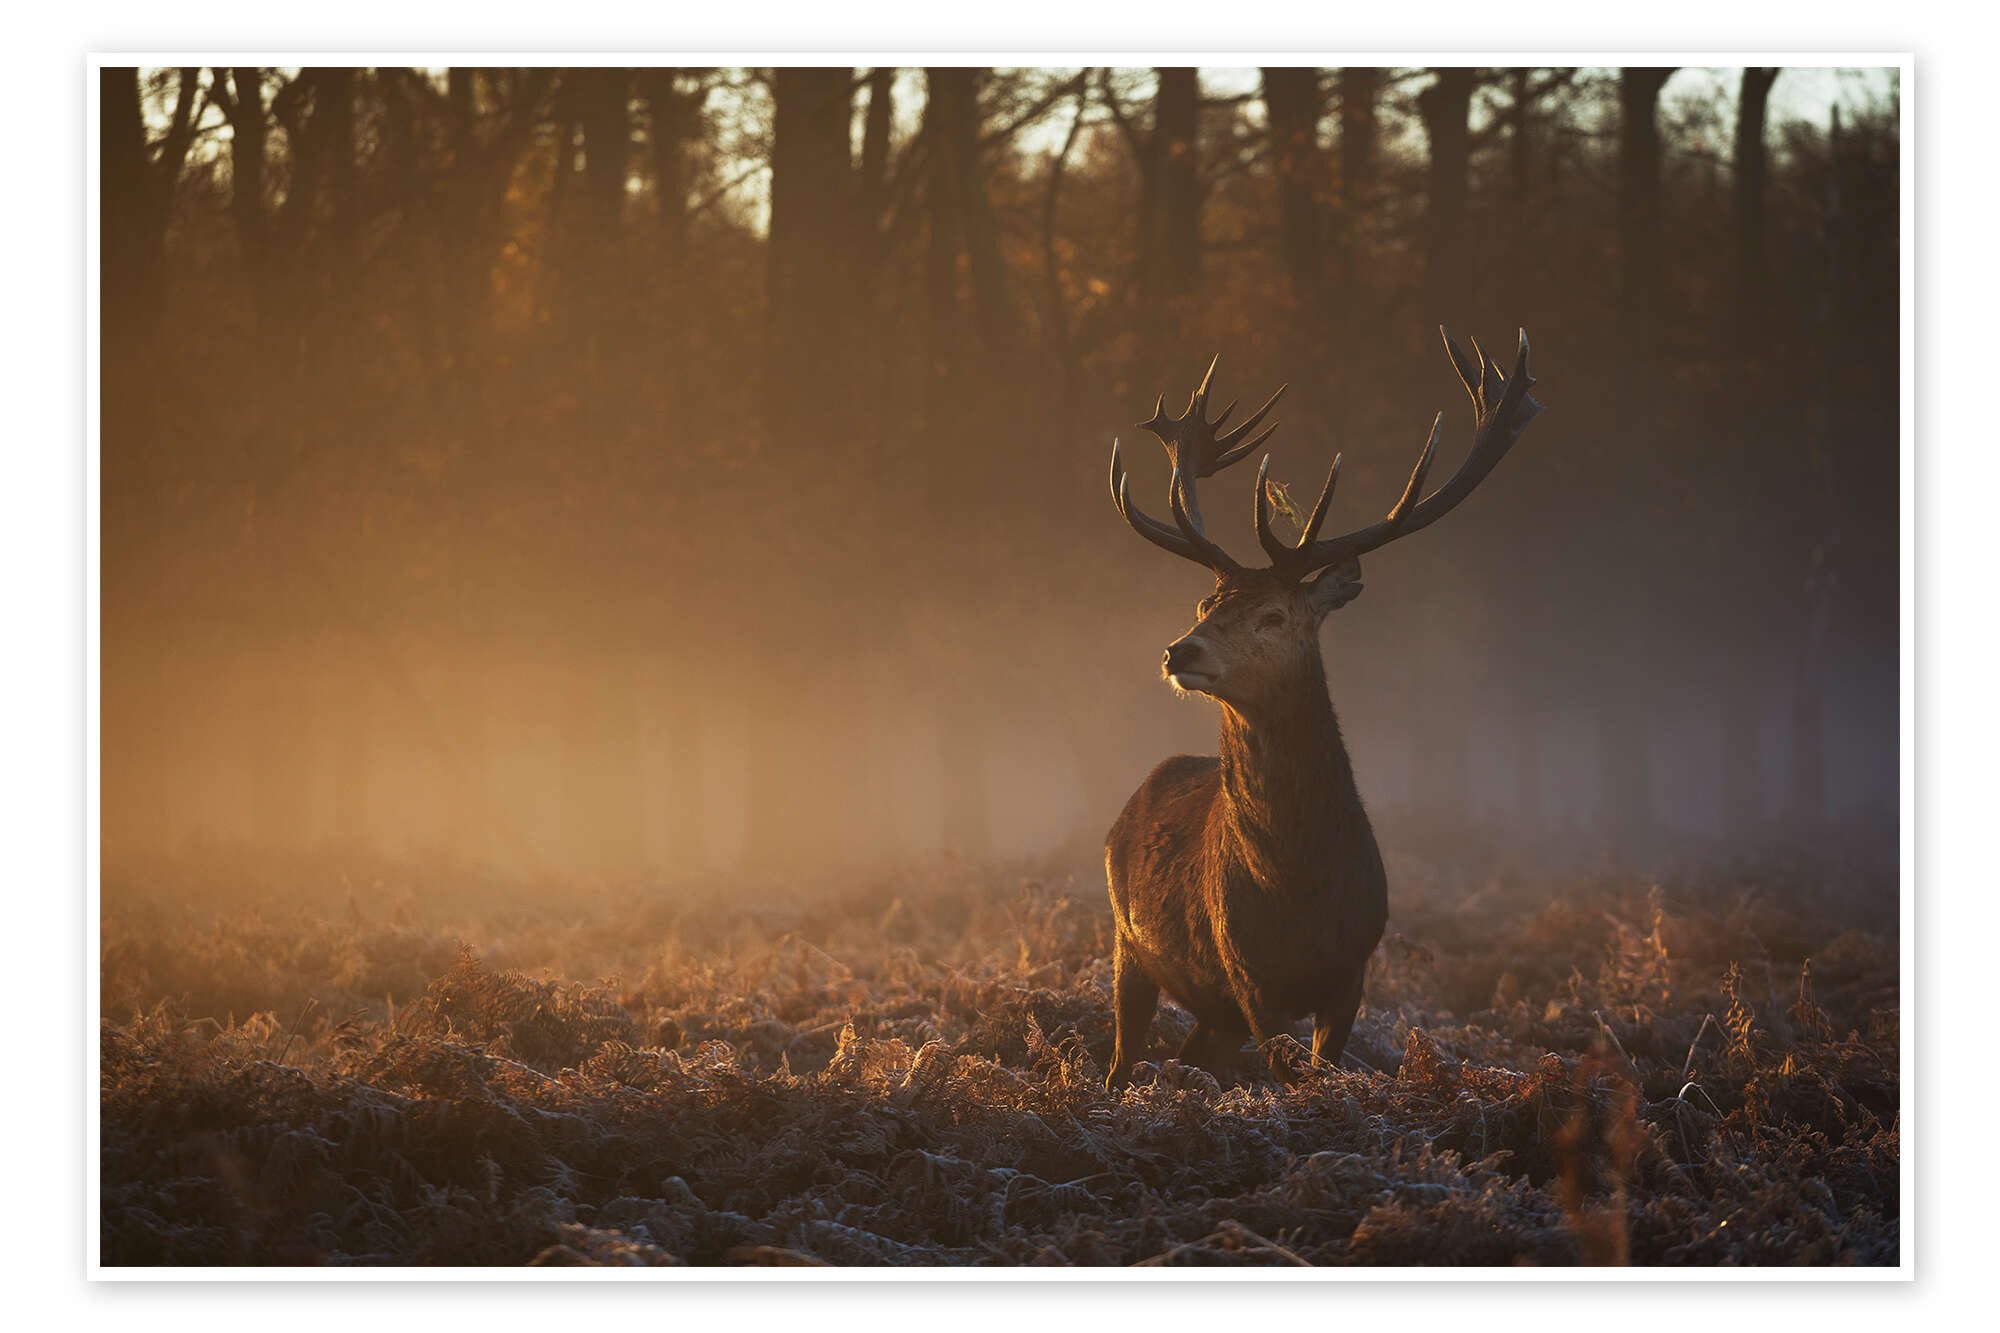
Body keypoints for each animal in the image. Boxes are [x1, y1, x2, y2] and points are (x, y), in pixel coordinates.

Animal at [1100, 327, 1544, 1089]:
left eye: (1274, 615)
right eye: (1206, 603)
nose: (1180, 649)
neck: (1299, 891)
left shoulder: (1352, 973)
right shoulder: (1249, 977)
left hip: (1207, 1002)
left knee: (1191, 1054)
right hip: (1129, 945)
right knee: (1122, 1059)